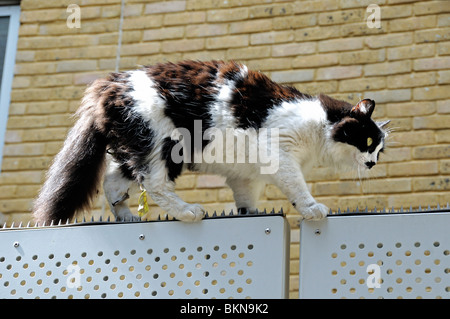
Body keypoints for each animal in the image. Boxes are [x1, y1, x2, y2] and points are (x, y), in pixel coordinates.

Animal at [32, 60, 390, 225]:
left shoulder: (247, 176)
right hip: (164, 144)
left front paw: (250, 214)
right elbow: (298, 188)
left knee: (113, 181)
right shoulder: (280, 155)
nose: (373, 162)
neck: (319, 123)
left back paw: (126, 216)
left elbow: (247, 203)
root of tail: (107, 84)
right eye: (367, 140)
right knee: (155, 184)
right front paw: (313, 208)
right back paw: (188, 211)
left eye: (378, 149)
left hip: (135, 149)